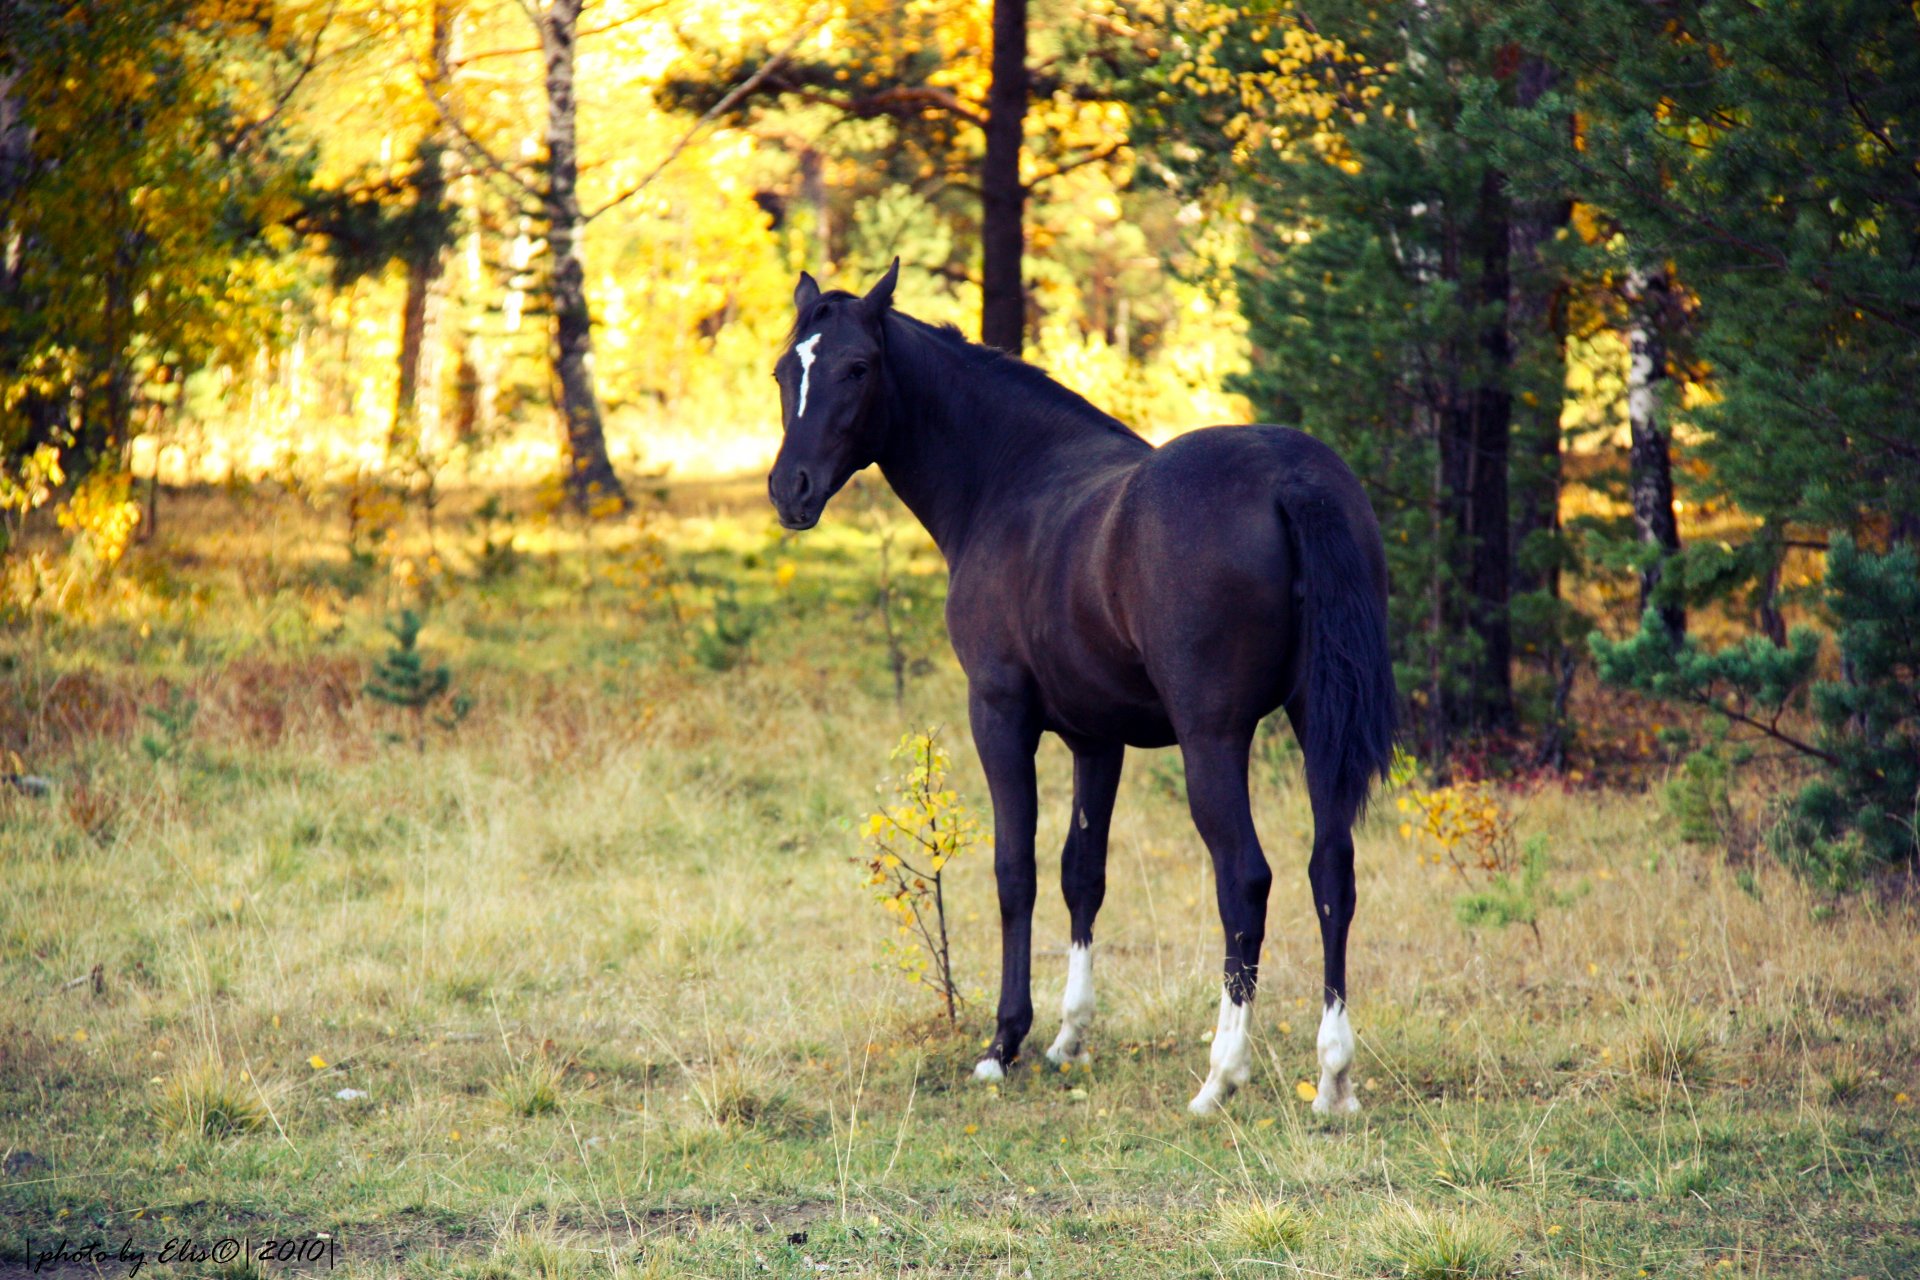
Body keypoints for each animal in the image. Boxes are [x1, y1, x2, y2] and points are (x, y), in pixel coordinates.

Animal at [766, 261, 1396, 1114]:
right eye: (784, 371)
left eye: (857, 368)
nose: (790, 490)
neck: (1010, 481)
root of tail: (1294, 478)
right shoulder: (1098, 738)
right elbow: (1082, 874)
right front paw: (1069, 1037)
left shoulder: (999, 716)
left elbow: (1016, 871)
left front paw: (1004, 1042)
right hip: (1314, 723)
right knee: (1332, 869)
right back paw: (1333, 1077)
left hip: (1214, 739)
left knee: (1245, 880)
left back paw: (1219, 1075)